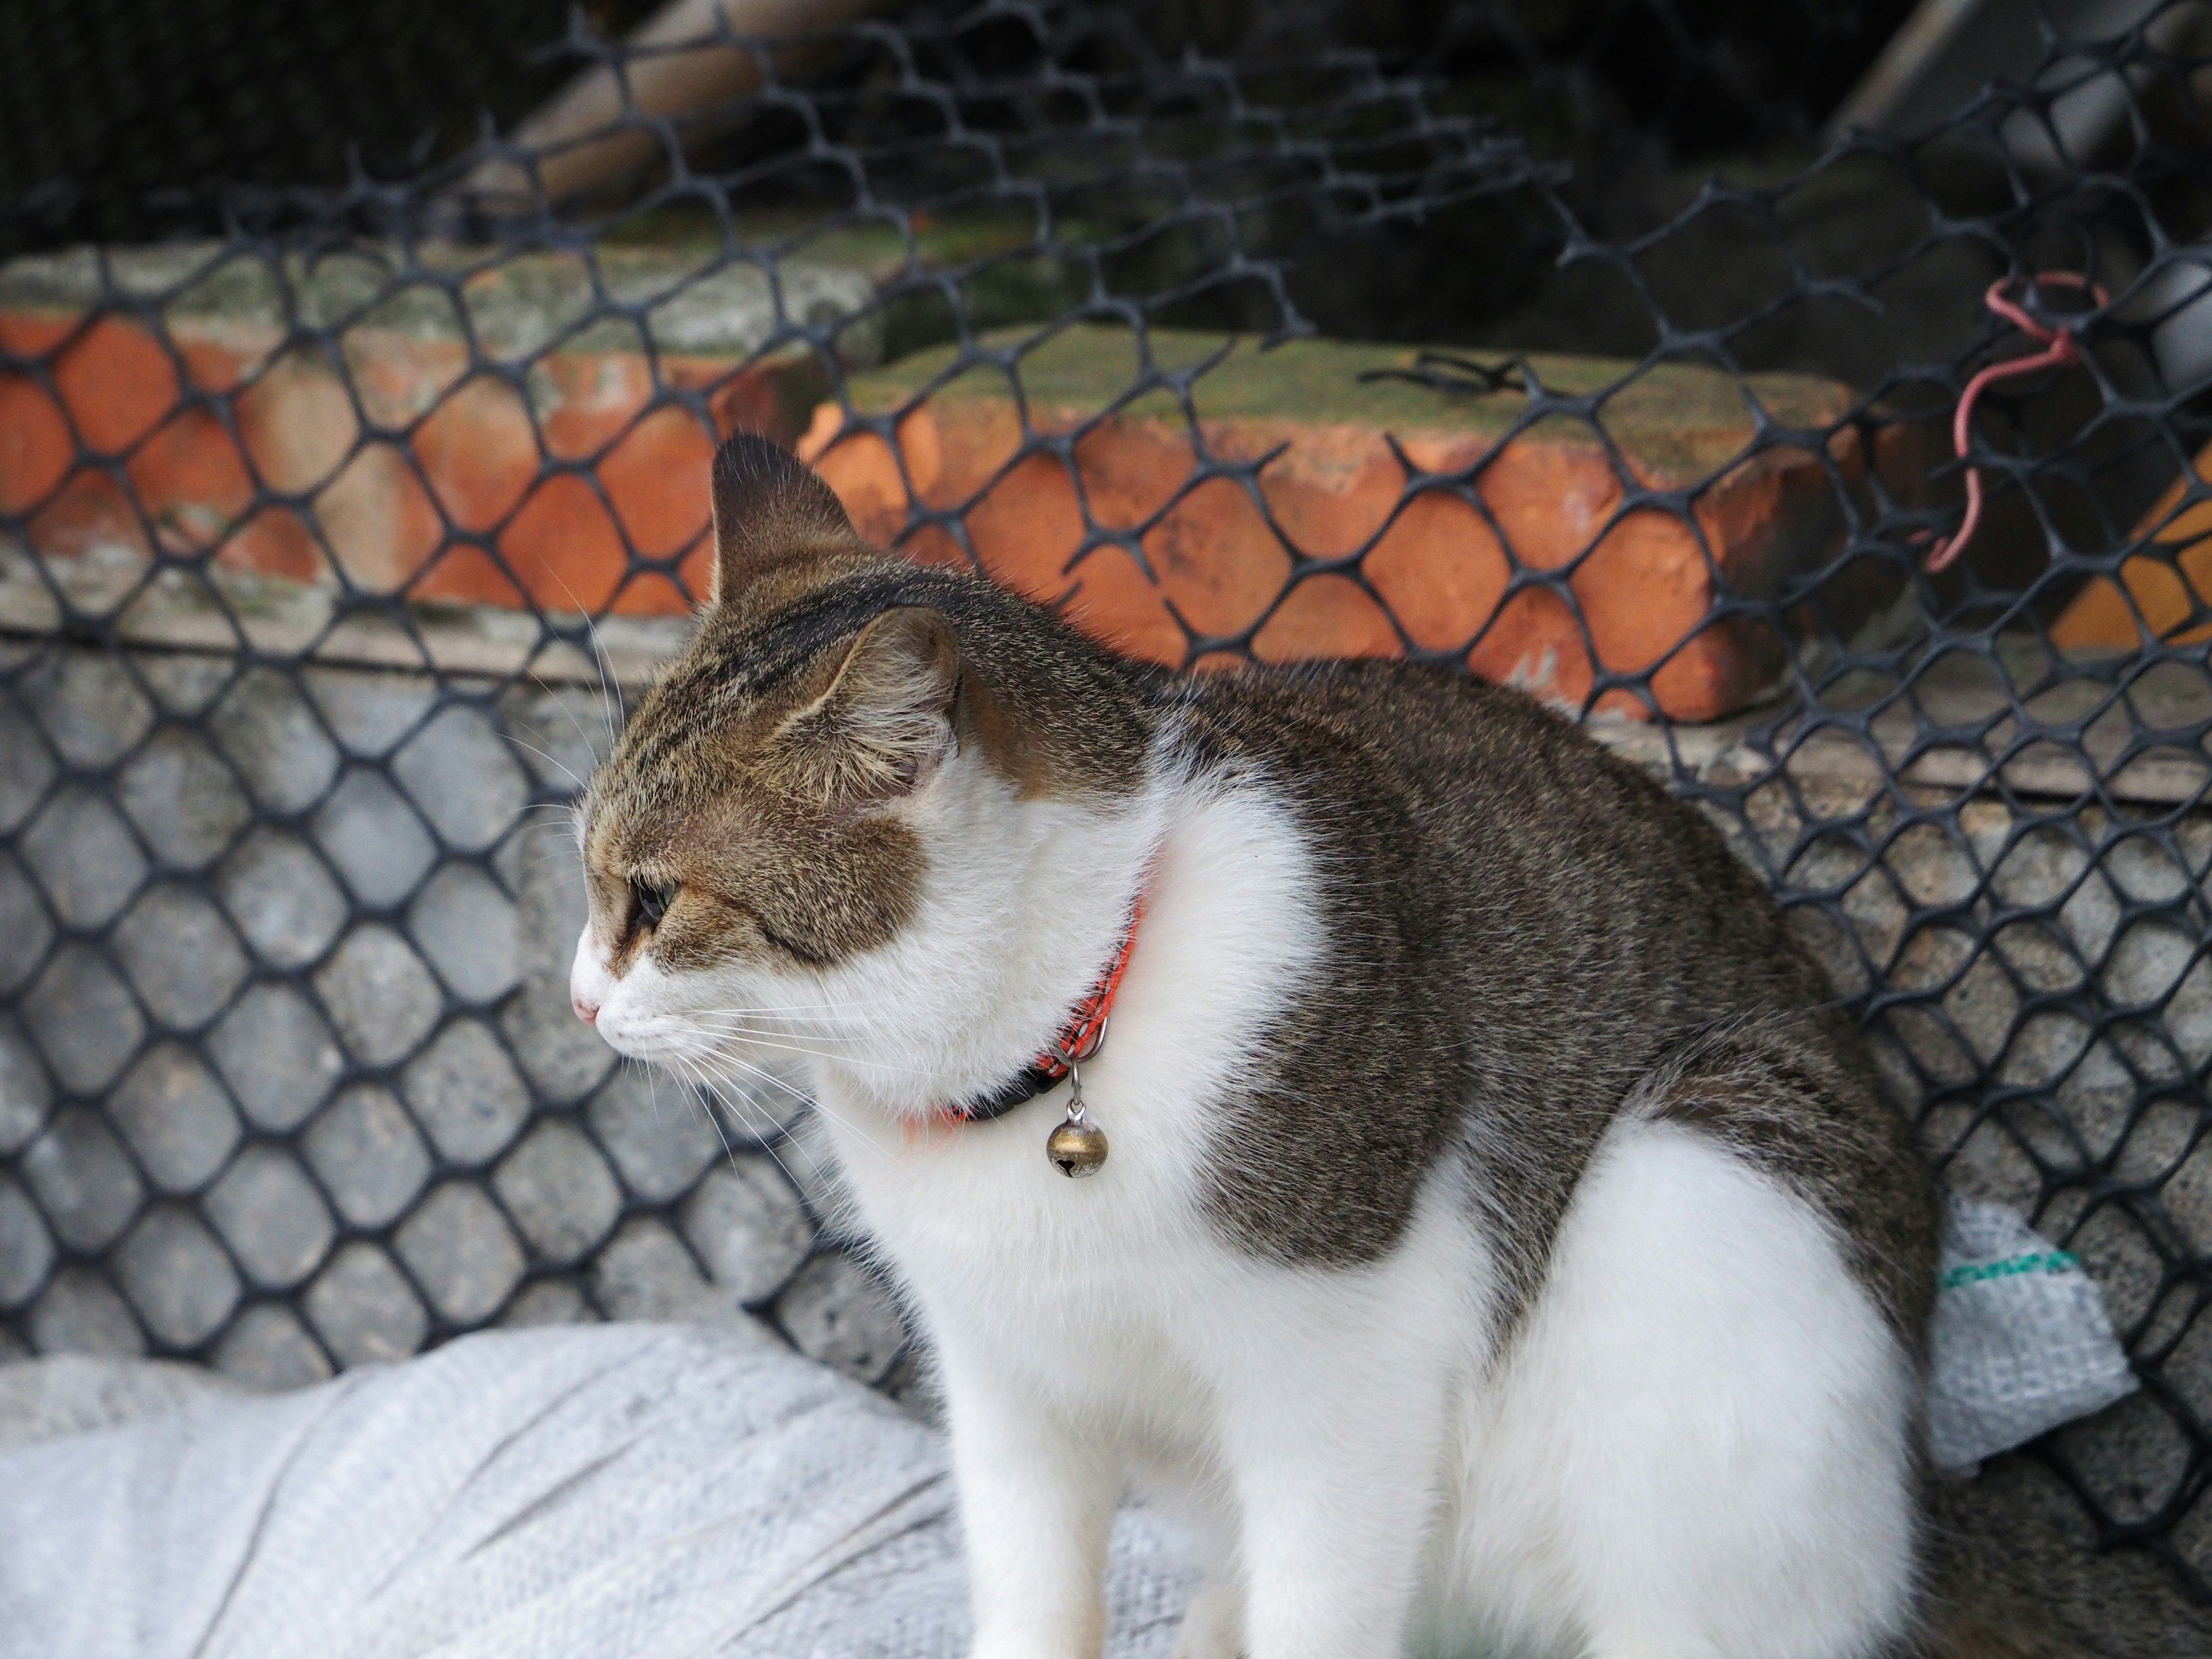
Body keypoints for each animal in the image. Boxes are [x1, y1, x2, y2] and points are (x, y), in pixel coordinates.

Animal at [566, 431, 2194, 1659]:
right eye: (589, 881)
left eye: (653, 901)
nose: (577, 996)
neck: (1065, 1043)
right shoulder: (1006, 1383)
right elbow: (1033, 1600)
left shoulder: (1338, 1385)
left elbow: (1326, 1600)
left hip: (1713, 1180)